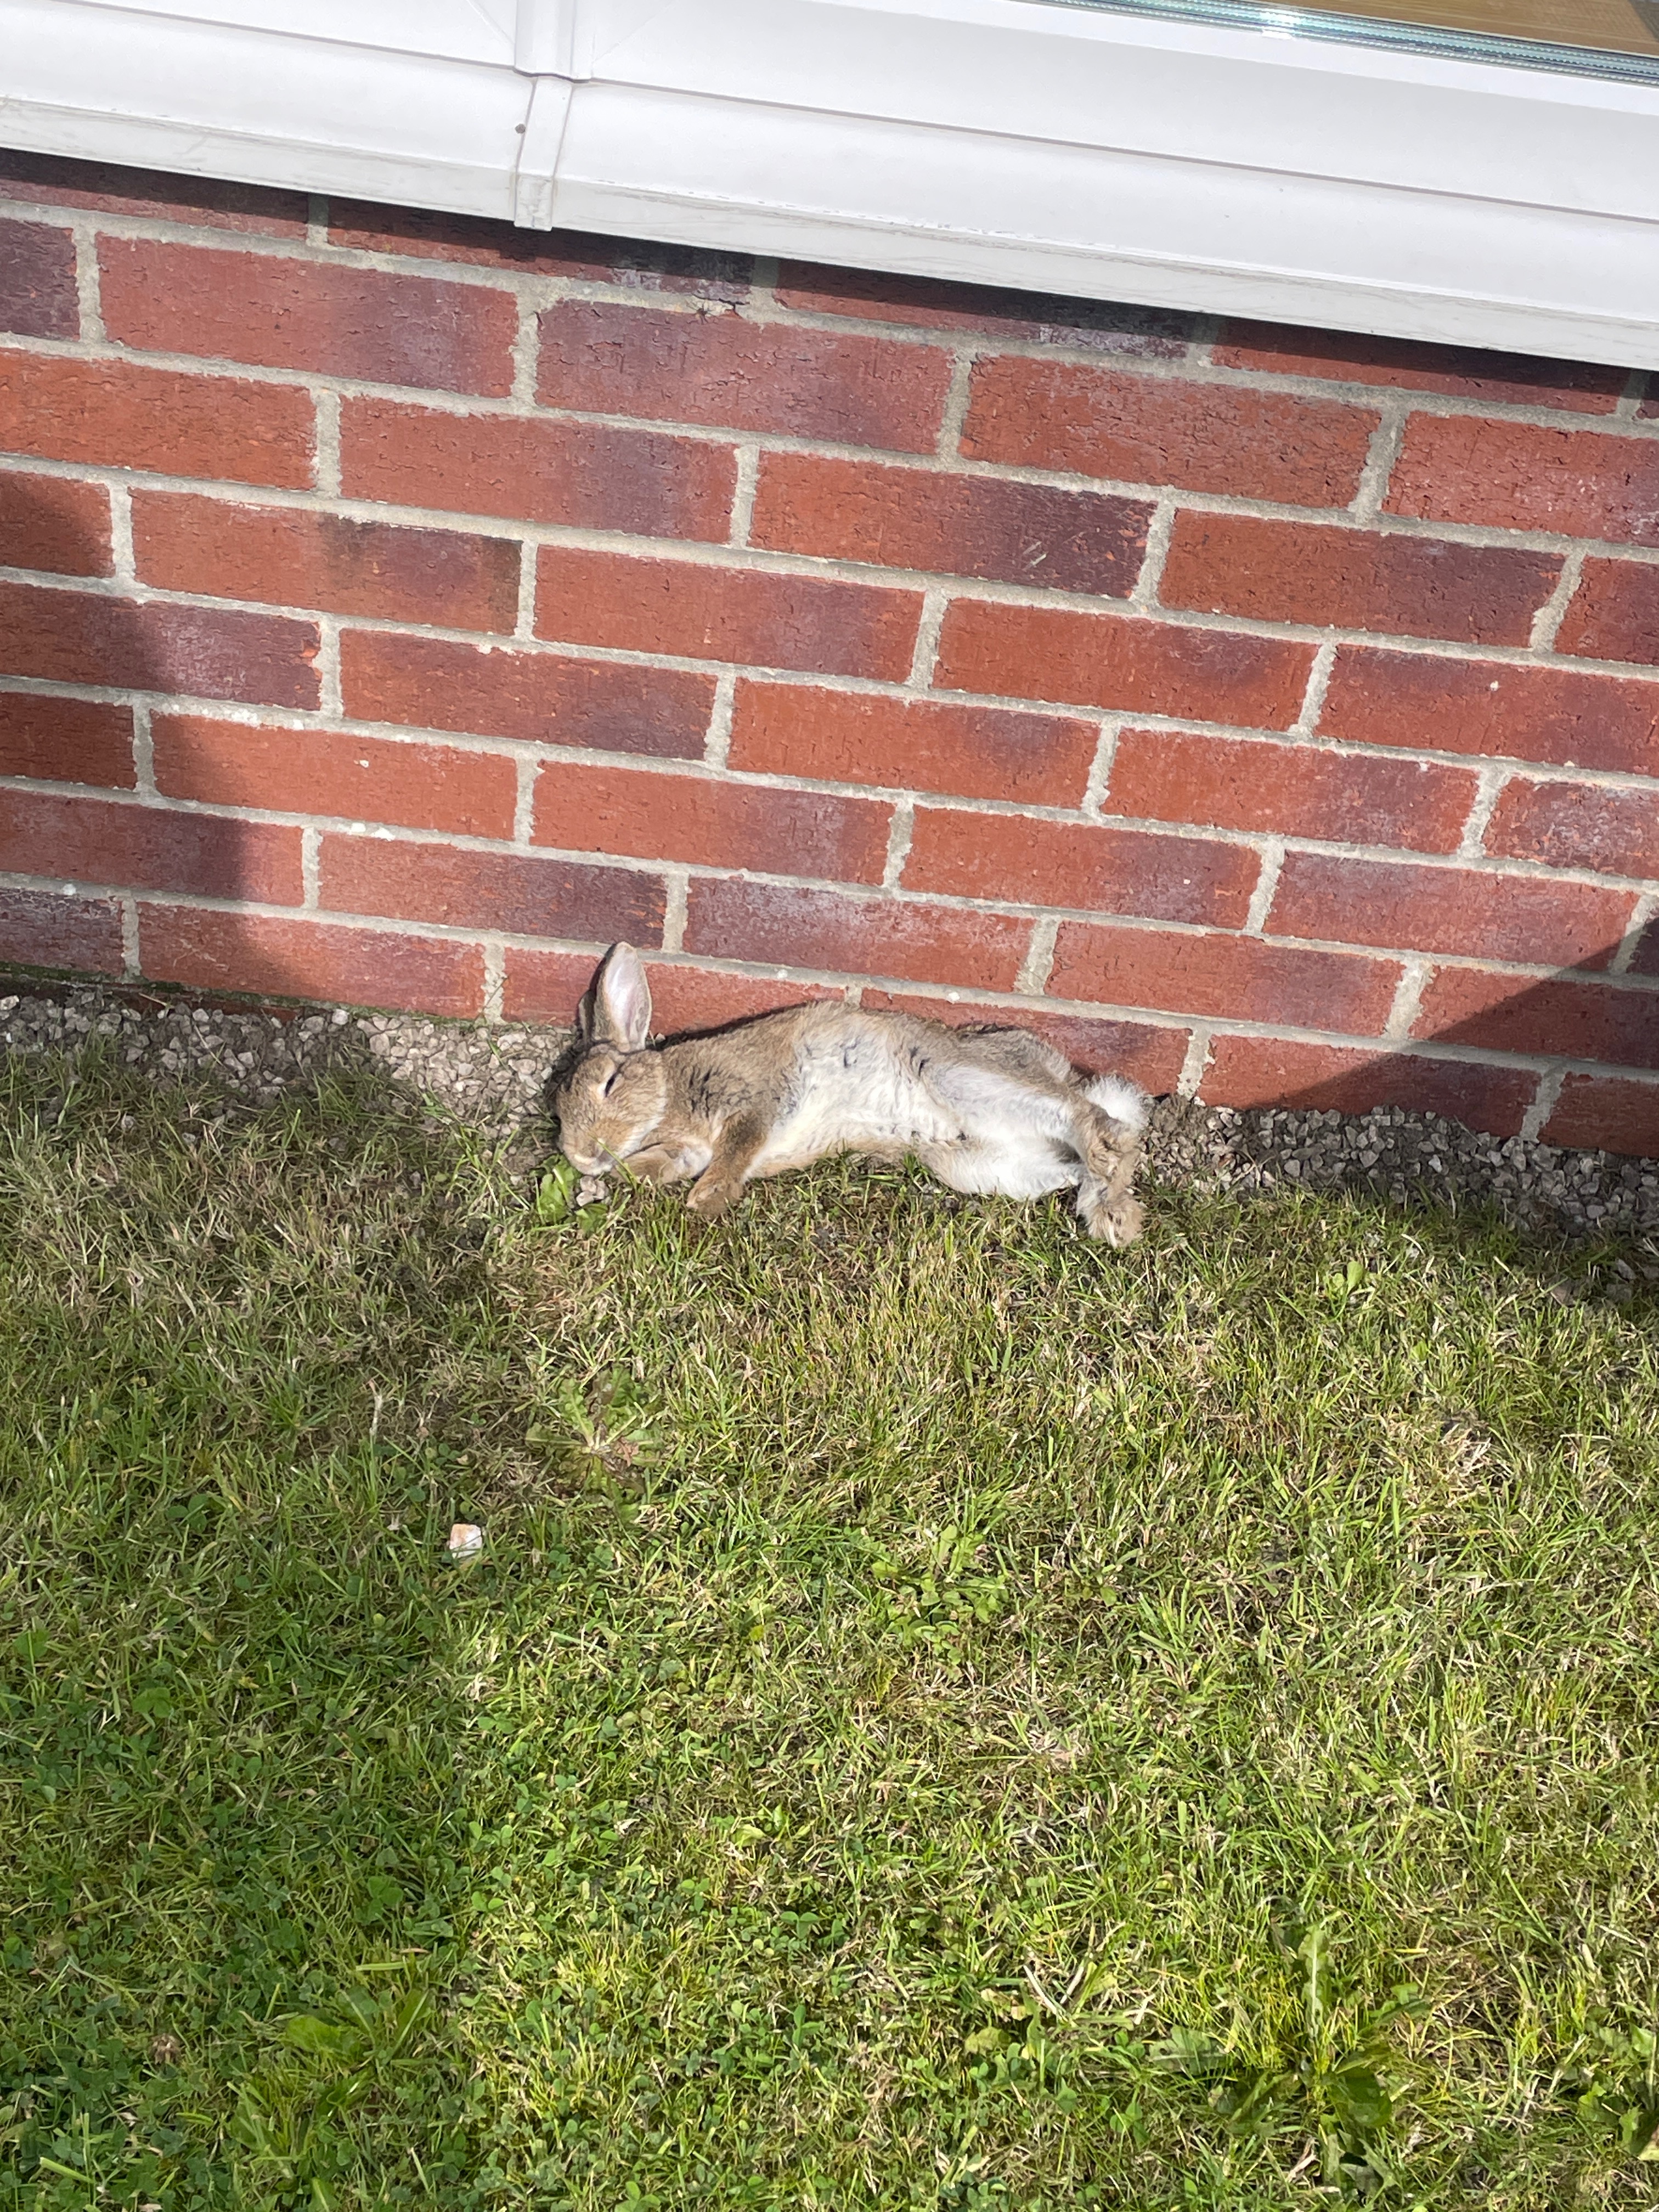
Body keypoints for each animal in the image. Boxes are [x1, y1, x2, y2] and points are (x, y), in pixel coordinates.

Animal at [552, 943, 1149, 1244]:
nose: (579, 1155)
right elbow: (655, 1167)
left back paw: (1113, 1199)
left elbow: (738, 1147)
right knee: (1081, 1166)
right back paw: (1112, 1214)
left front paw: (706, 1200)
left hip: (958, 1075)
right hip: (973, 1165)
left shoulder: (754, 1098)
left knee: (1091, 1118)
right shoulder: (684, 1149)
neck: (669, 1096)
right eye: (558, 1110)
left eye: (609, 1083)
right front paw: (595, 1190)